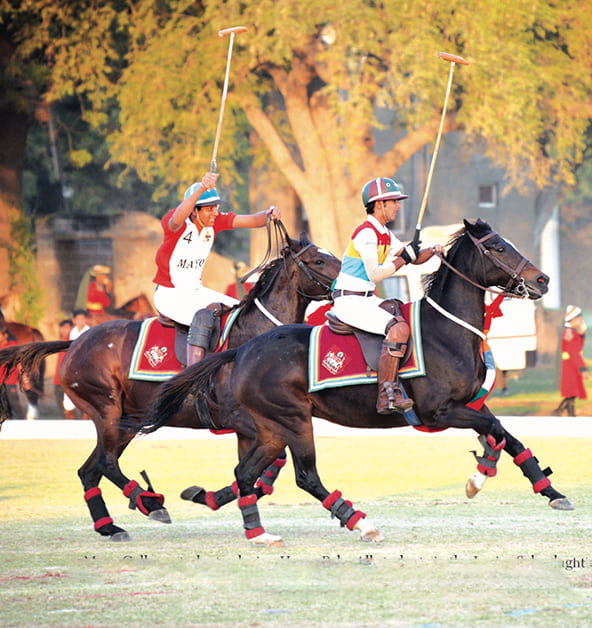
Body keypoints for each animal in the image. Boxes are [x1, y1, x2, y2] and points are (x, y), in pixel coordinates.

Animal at [0, 224, 340, 540]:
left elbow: (258, 470)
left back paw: (109, 526)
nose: (348, 287)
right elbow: (269, 464)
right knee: (106, 463)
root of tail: (75, 343)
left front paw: (211, 497)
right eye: (318, 260)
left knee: (89, 470)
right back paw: (149, 503)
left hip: (128, 419)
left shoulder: (253, 426)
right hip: (105, 409)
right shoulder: (248, 419)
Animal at [141, 220, 576, 544]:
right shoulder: (439, 412)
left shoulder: (468, 404)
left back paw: (255, 530)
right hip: (294, 420)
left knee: (246, 473)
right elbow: (496, 428)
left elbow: (506, 437)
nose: (543, 280)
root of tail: (242, 350)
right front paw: (481, 479)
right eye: (499, 248)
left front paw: (544, 490)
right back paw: (358, 521)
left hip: (270, 428)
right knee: (305, 476)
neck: (446, 329)